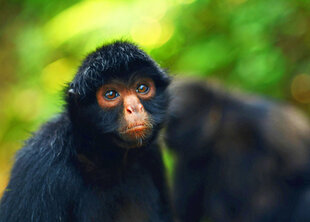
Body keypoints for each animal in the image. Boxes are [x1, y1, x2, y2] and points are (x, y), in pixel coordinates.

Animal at [166, 80, 310, 222]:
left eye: (174, 122)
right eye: (168, 125)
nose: (166, 134)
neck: (221, 134)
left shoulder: (262, 120)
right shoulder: (192, 155)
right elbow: (184, 213)